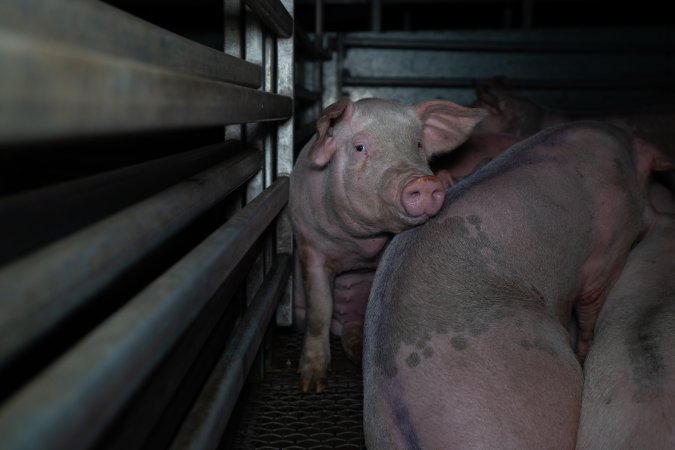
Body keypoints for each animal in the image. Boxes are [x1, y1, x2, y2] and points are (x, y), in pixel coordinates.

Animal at [288, 96, 488, 392]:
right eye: (360, 147)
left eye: (418, 144)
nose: (425, 182)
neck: (361, 247)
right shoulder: (310, 244)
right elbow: (320, 309)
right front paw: (312, 384)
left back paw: (359, 353)